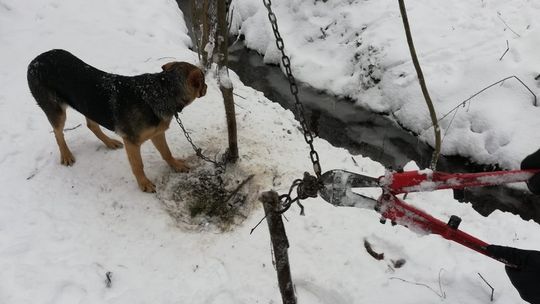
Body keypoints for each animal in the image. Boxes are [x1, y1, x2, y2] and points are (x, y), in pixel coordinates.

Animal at [27, 49, 209, 192]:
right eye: (203, 81)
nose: (207, 88)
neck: (160, 90)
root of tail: (35, 60)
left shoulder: (157, 134)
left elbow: (167, 152)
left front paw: (176, 165)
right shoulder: (132, 142)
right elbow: (138, 165)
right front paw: (144, 184)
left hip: (88, 105)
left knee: (91, 125)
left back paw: (109, 142)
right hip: (57, 111)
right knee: (58, 133)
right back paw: (66, 155)